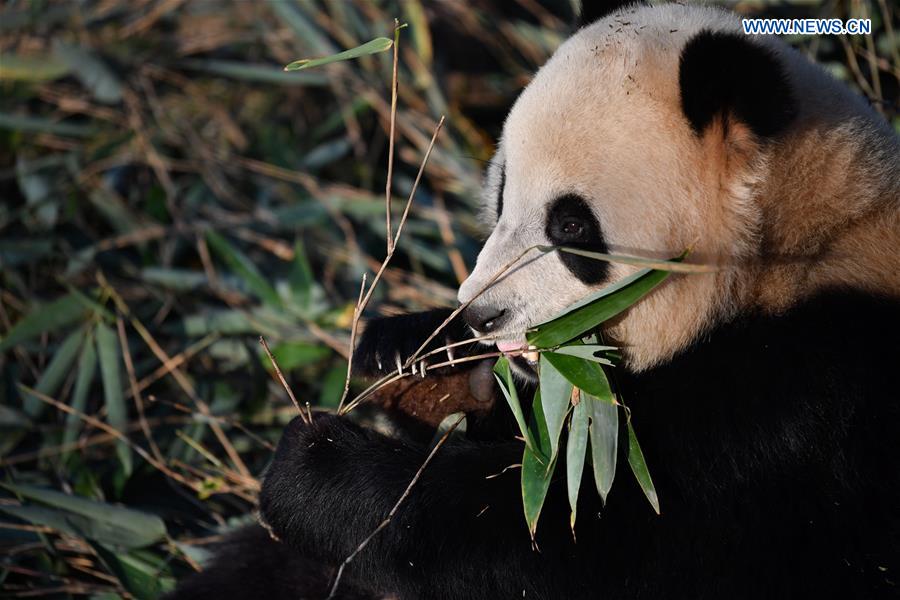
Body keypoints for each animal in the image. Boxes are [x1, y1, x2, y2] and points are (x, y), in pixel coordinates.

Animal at [171, 1, 900, 600]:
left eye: (570, 226)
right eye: (499, 196)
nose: (481, 315)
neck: (797, 250)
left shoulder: (800, 402)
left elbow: (571, 532)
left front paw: (314, 465)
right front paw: (404, 356)